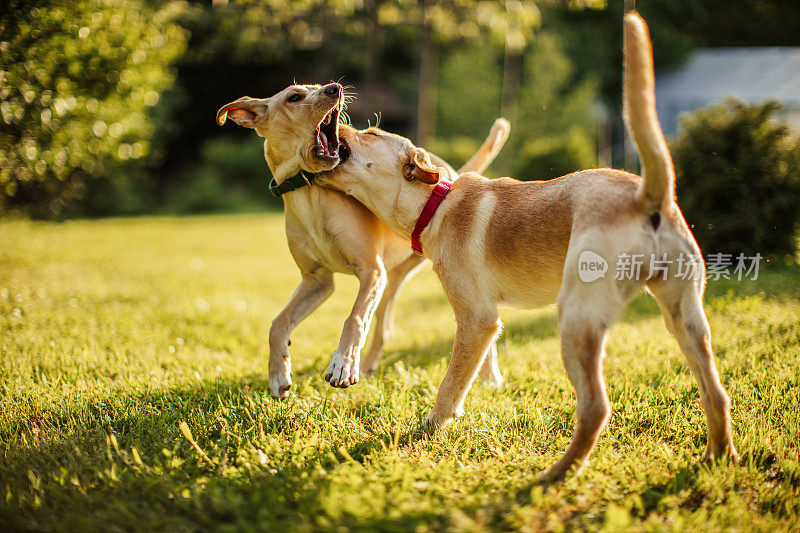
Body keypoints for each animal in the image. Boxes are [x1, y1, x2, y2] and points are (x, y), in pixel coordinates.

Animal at [216, 84, 510, 400]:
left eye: (318, 86)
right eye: (294, 97)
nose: (335, 88)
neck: (309, 195)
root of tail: (451, 171)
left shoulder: (371, 271)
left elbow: (354, 317)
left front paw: (343, 363)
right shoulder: (317, 281)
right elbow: (278, 323)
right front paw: (278, 374)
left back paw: (490, 377)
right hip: (390, 284)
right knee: (382, 329)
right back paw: (368, 366)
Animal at [312, 12, 736, 478]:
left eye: (370, 132)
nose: (332, 100)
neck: (436, 202)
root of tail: (647, 196)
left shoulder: (477, 320)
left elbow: (451, 384)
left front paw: (429, 428)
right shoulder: (487, 320)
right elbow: (479, 367)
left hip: (577, 319)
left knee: (595, 407)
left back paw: (556, 475)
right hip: (685, 316)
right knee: (716, 393)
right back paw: (719, 458)